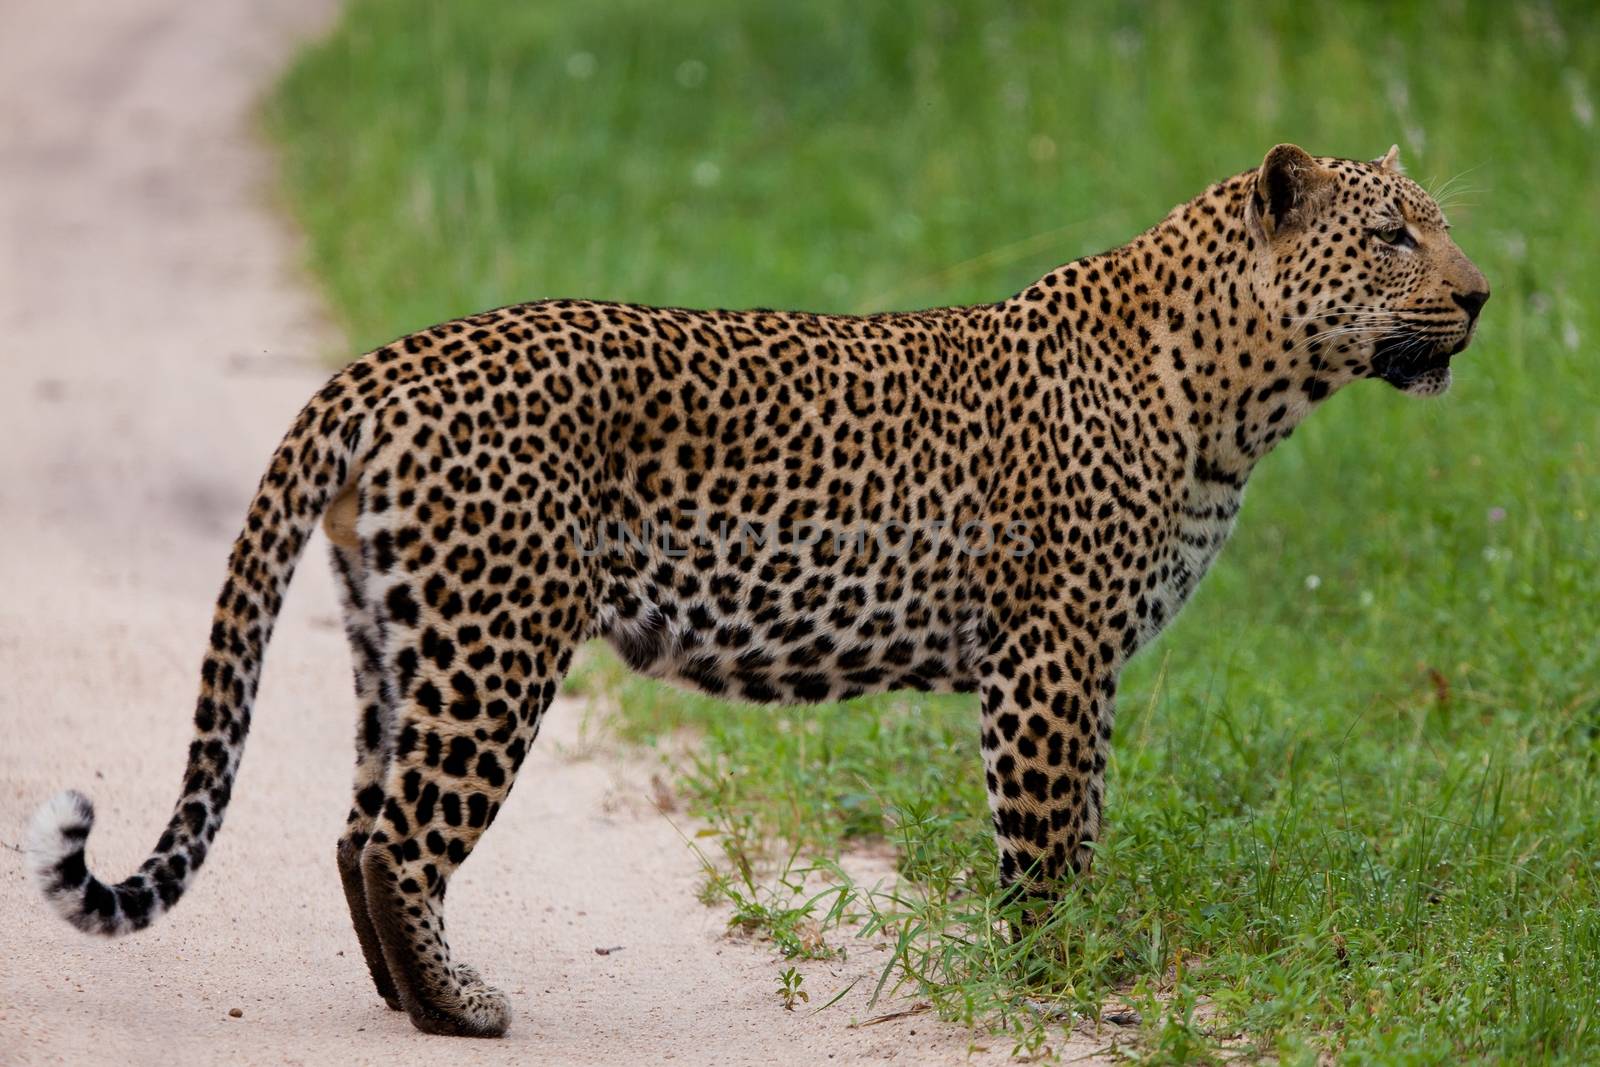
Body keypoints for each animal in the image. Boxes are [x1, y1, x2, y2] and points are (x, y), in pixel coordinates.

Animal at [28, 141, 1484, 1036]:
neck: (1243, 395)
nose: (1479, 294)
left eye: (1441, 229)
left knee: (354, 824)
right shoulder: (1049, 652)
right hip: (497, 638)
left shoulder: (1094, 661)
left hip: (400, 630)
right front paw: (1055, 978)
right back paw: (462, 1009)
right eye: (1392, 235)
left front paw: (1079, 958)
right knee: (401, 838)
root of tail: (384, 364)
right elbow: (1044, 836)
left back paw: (404, 1000)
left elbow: (1088, 821)